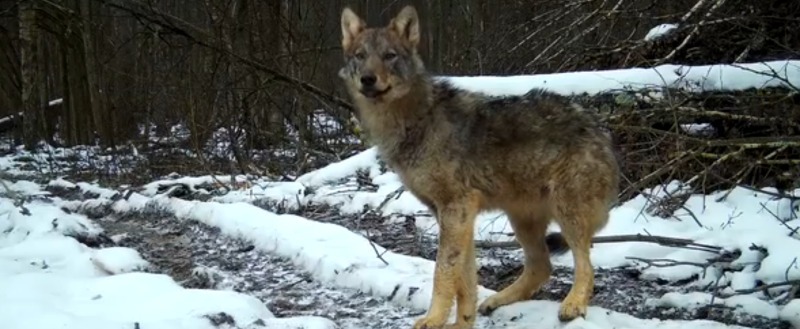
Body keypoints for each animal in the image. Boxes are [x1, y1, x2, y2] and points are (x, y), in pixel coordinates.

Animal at [338, 5, 620, 328]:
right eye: (360, 55)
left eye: (389, 55)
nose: (368, 79)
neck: (415, 120)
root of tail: (600, 129)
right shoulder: (451, 214)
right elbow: (465, 280)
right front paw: (463, 322)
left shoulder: (457, 207)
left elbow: (443, 273)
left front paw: (433, 318)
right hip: (522, 220)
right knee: (542, 267)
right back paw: (498, 300)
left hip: (566, 213)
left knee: (585, 264)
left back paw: (573, 305)